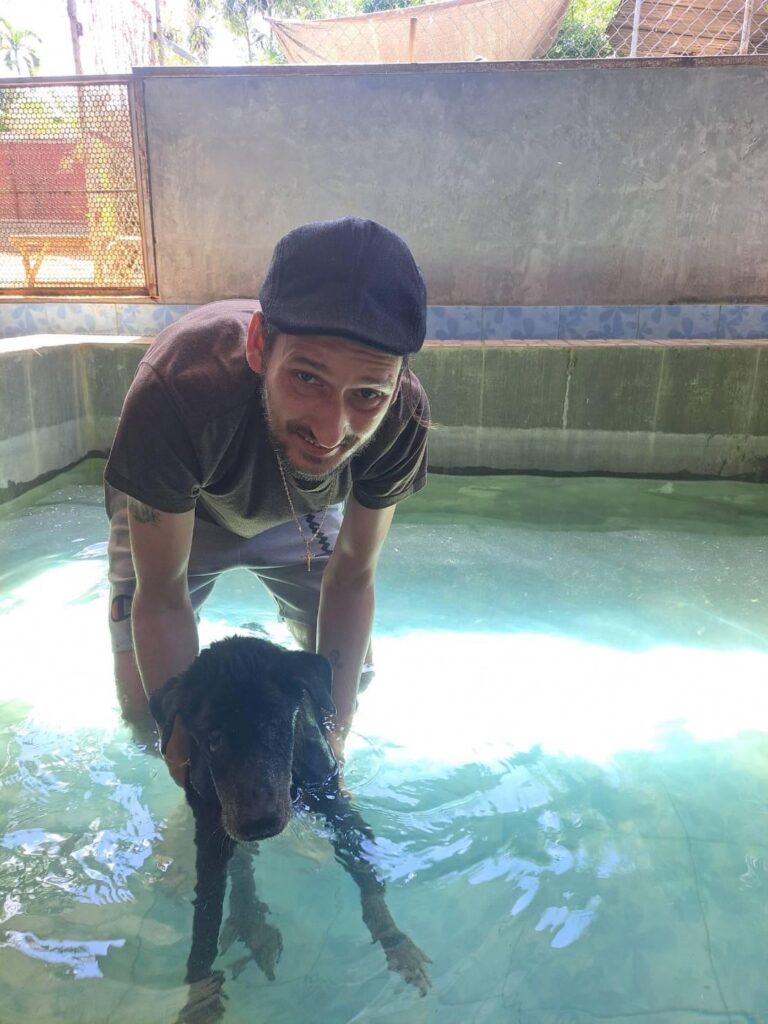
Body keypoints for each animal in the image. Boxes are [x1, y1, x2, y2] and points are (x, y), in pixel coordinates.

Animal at [147, 634, 430, 1019]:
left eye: (275, 724)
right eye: (213, 737)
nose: (259, 823)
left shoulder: (334, 803)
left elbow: (367, 878)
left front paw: (396, 942)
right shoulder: (210, 833)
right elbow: (204, 924)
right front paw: (200, 1000)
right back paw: (252, 923)